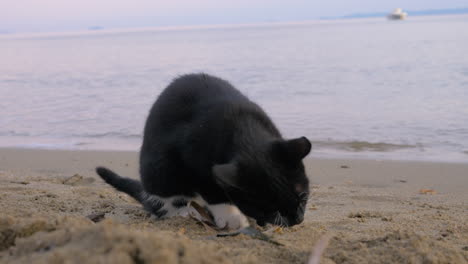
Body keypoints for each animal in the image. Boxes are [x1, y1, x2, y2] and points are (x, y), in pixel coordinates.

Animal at [96, 73, 310, 229]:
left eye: (302, 196)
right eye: (272, 209)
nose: (298, 219)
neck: (246, 134)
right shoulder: (193, 159)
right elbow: (213, 190)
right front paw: (232, 218)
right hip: (158, 170)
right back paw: (183, 213)